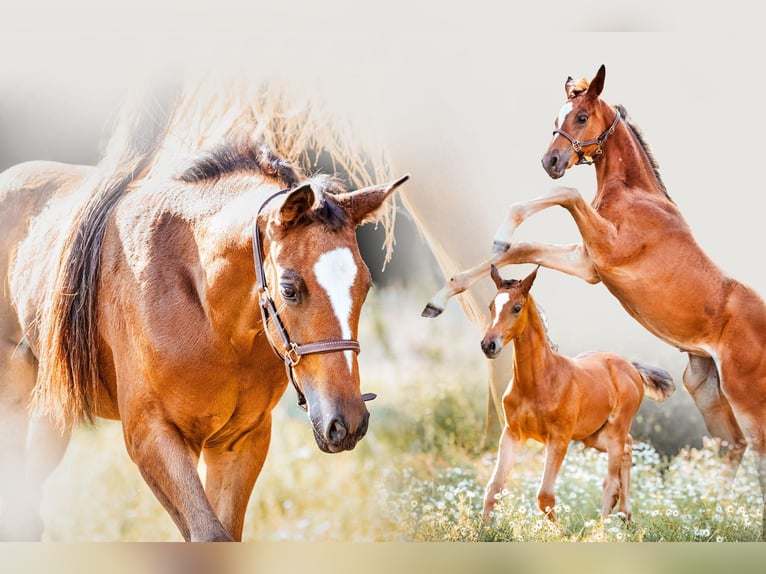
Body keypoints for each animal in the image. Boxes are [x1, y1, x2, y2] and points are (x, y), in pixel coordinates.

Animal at [0, 79, 408, 544]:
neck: (214, 318)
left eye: (365, 286)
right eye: (289, 289)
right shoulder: (153, 435)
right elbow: (208, 535)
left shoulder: (240, 440)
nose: (347, 422)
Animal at [484, 266, 676, 528]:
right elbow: (494, 487)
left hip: (613, 432)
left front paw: (561, 532)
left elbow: (545, 495)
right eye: (490, 306)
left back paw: (603, 529)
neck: (539, 381)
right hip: (592, 437)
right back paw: (625, 515)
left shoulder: (559, 439)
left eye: (517, 307)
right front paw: (482, 532)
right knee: (628, 448)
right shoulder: (513, 434)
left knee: (611, 481)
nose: (488, 345)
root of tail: (631, 366)